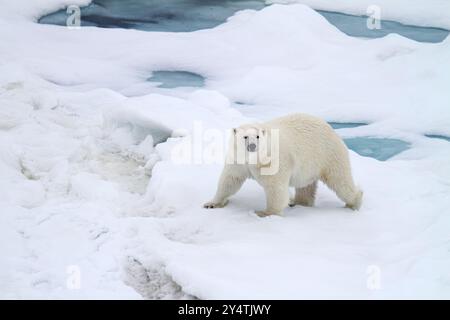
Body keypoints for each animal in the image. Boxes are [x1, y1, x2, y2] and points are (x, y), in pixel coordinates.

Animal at [204, 113, 362, 218]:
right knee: (305, 187)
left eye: (257, 137)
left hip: (328, 154)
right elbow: (230, 180)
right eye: (245, 137)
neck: (255, 158)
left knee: (340, 181)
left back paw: (354, 203)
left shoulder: (274, 160)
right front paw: (211, 203)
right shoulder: (239, 160)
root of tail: (332, 130)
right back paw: (298, 202)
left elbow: (275, 187)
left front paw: (264, 213)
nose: (252, 146)